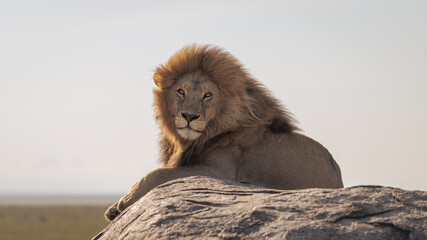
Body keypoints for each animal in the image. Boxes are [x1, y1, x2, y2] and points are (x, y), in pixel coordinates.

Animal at [105, 44, 346, 221]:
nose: (189, 116)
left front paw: (124, 202)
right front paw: (114, 208)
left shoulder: (217, 171)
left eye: (208, 95)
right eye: (180, 91)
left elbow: (157, 174)